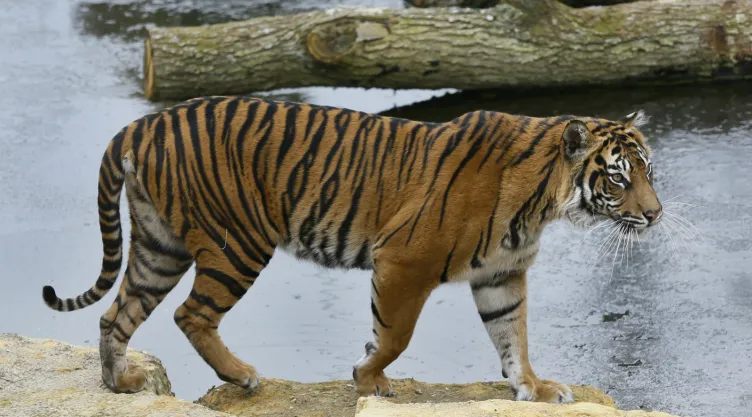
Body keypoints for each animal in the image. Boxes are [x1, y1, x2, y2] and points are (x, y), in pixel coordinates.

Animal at [42, 96, 662, 403]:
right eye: (618, 178)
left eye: (649, 172)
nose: (655, 214)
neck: (543, 202)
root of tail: (141, 123)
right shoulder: (404, 261)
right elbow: (395, 335)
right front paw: (368, 377)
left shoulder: (501, 275)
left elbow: (513, 335)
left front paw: (533, 386)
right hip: (236, 241)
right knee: (190, 314)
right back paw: (242, 377)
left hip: (159, 245)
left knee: (117, 314)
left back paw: (120, 385)